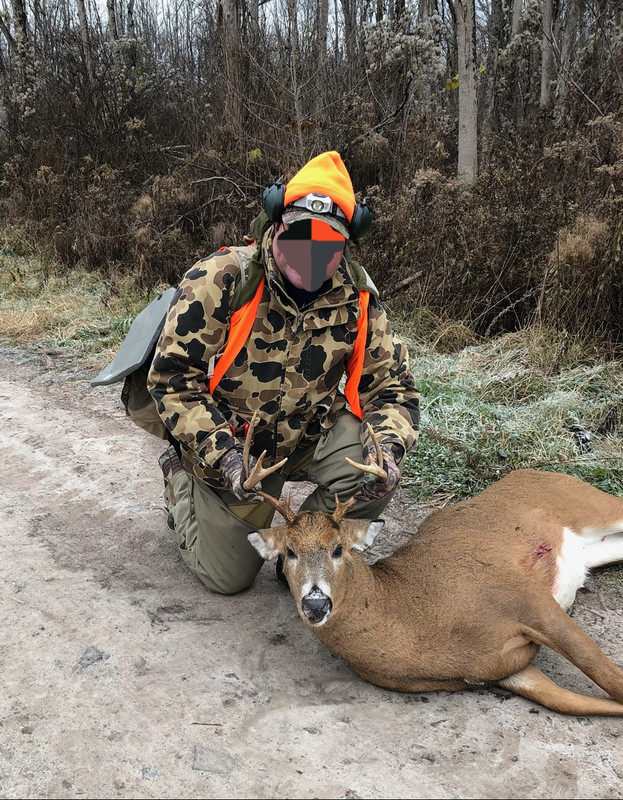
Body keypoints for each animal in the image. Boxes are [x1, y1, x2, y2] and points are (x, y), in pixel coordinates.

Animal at [241, 415, 623, 716]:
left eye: (338, 549)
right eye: (289, 552)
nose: (316, 603)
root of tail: (536, 470)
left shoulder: (525, 597)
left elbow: (610, 678)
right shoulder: (506, 669)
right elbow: (590, 703)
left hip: (590, 505)